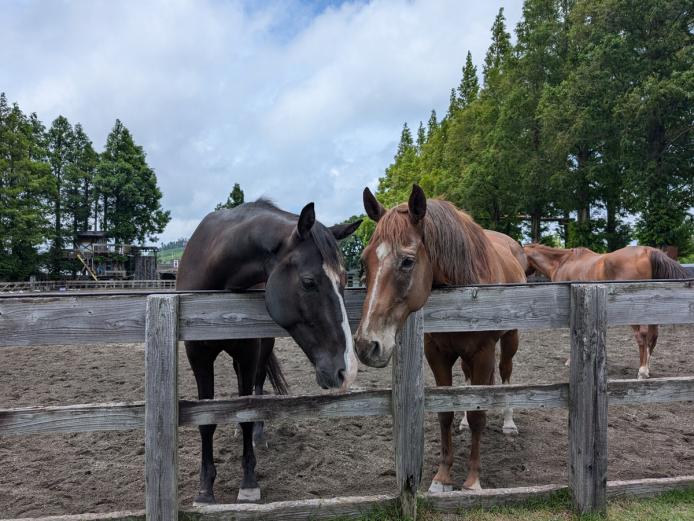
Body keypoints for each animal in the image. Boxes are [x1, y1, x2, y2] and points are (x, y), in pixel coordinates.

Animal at [177, 197, 362, 502]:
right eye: (308, 282)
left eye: (345, 281)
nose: (346, 371)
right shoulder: (198, 357)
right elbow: (206, 420)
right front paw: (205, 489)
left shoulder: (249, 353)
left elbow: (247, 412)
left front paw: (248, 483)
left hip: (260, 351)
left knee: (259, 386)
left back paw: (258, 435)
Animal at [358, 186, 528, 492]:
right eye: (365, 261)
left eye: (407, 261)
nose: (367, 345)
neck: (465, 286)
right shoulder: (437, 354)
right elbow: (444, 411)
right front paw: (442, 477)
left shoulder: (484, 352)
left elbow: (478, 414)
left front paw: (472, 481)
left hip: (510, 338)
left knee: (506, 373)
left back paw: (508, 422)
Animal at [528, 244, 692, 378]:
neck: (562, 262)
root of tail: (648, 251)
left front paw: (570, 360)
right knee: (653, 336)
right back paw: (647, 367)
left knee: (642, 336)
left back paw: (642, 371)